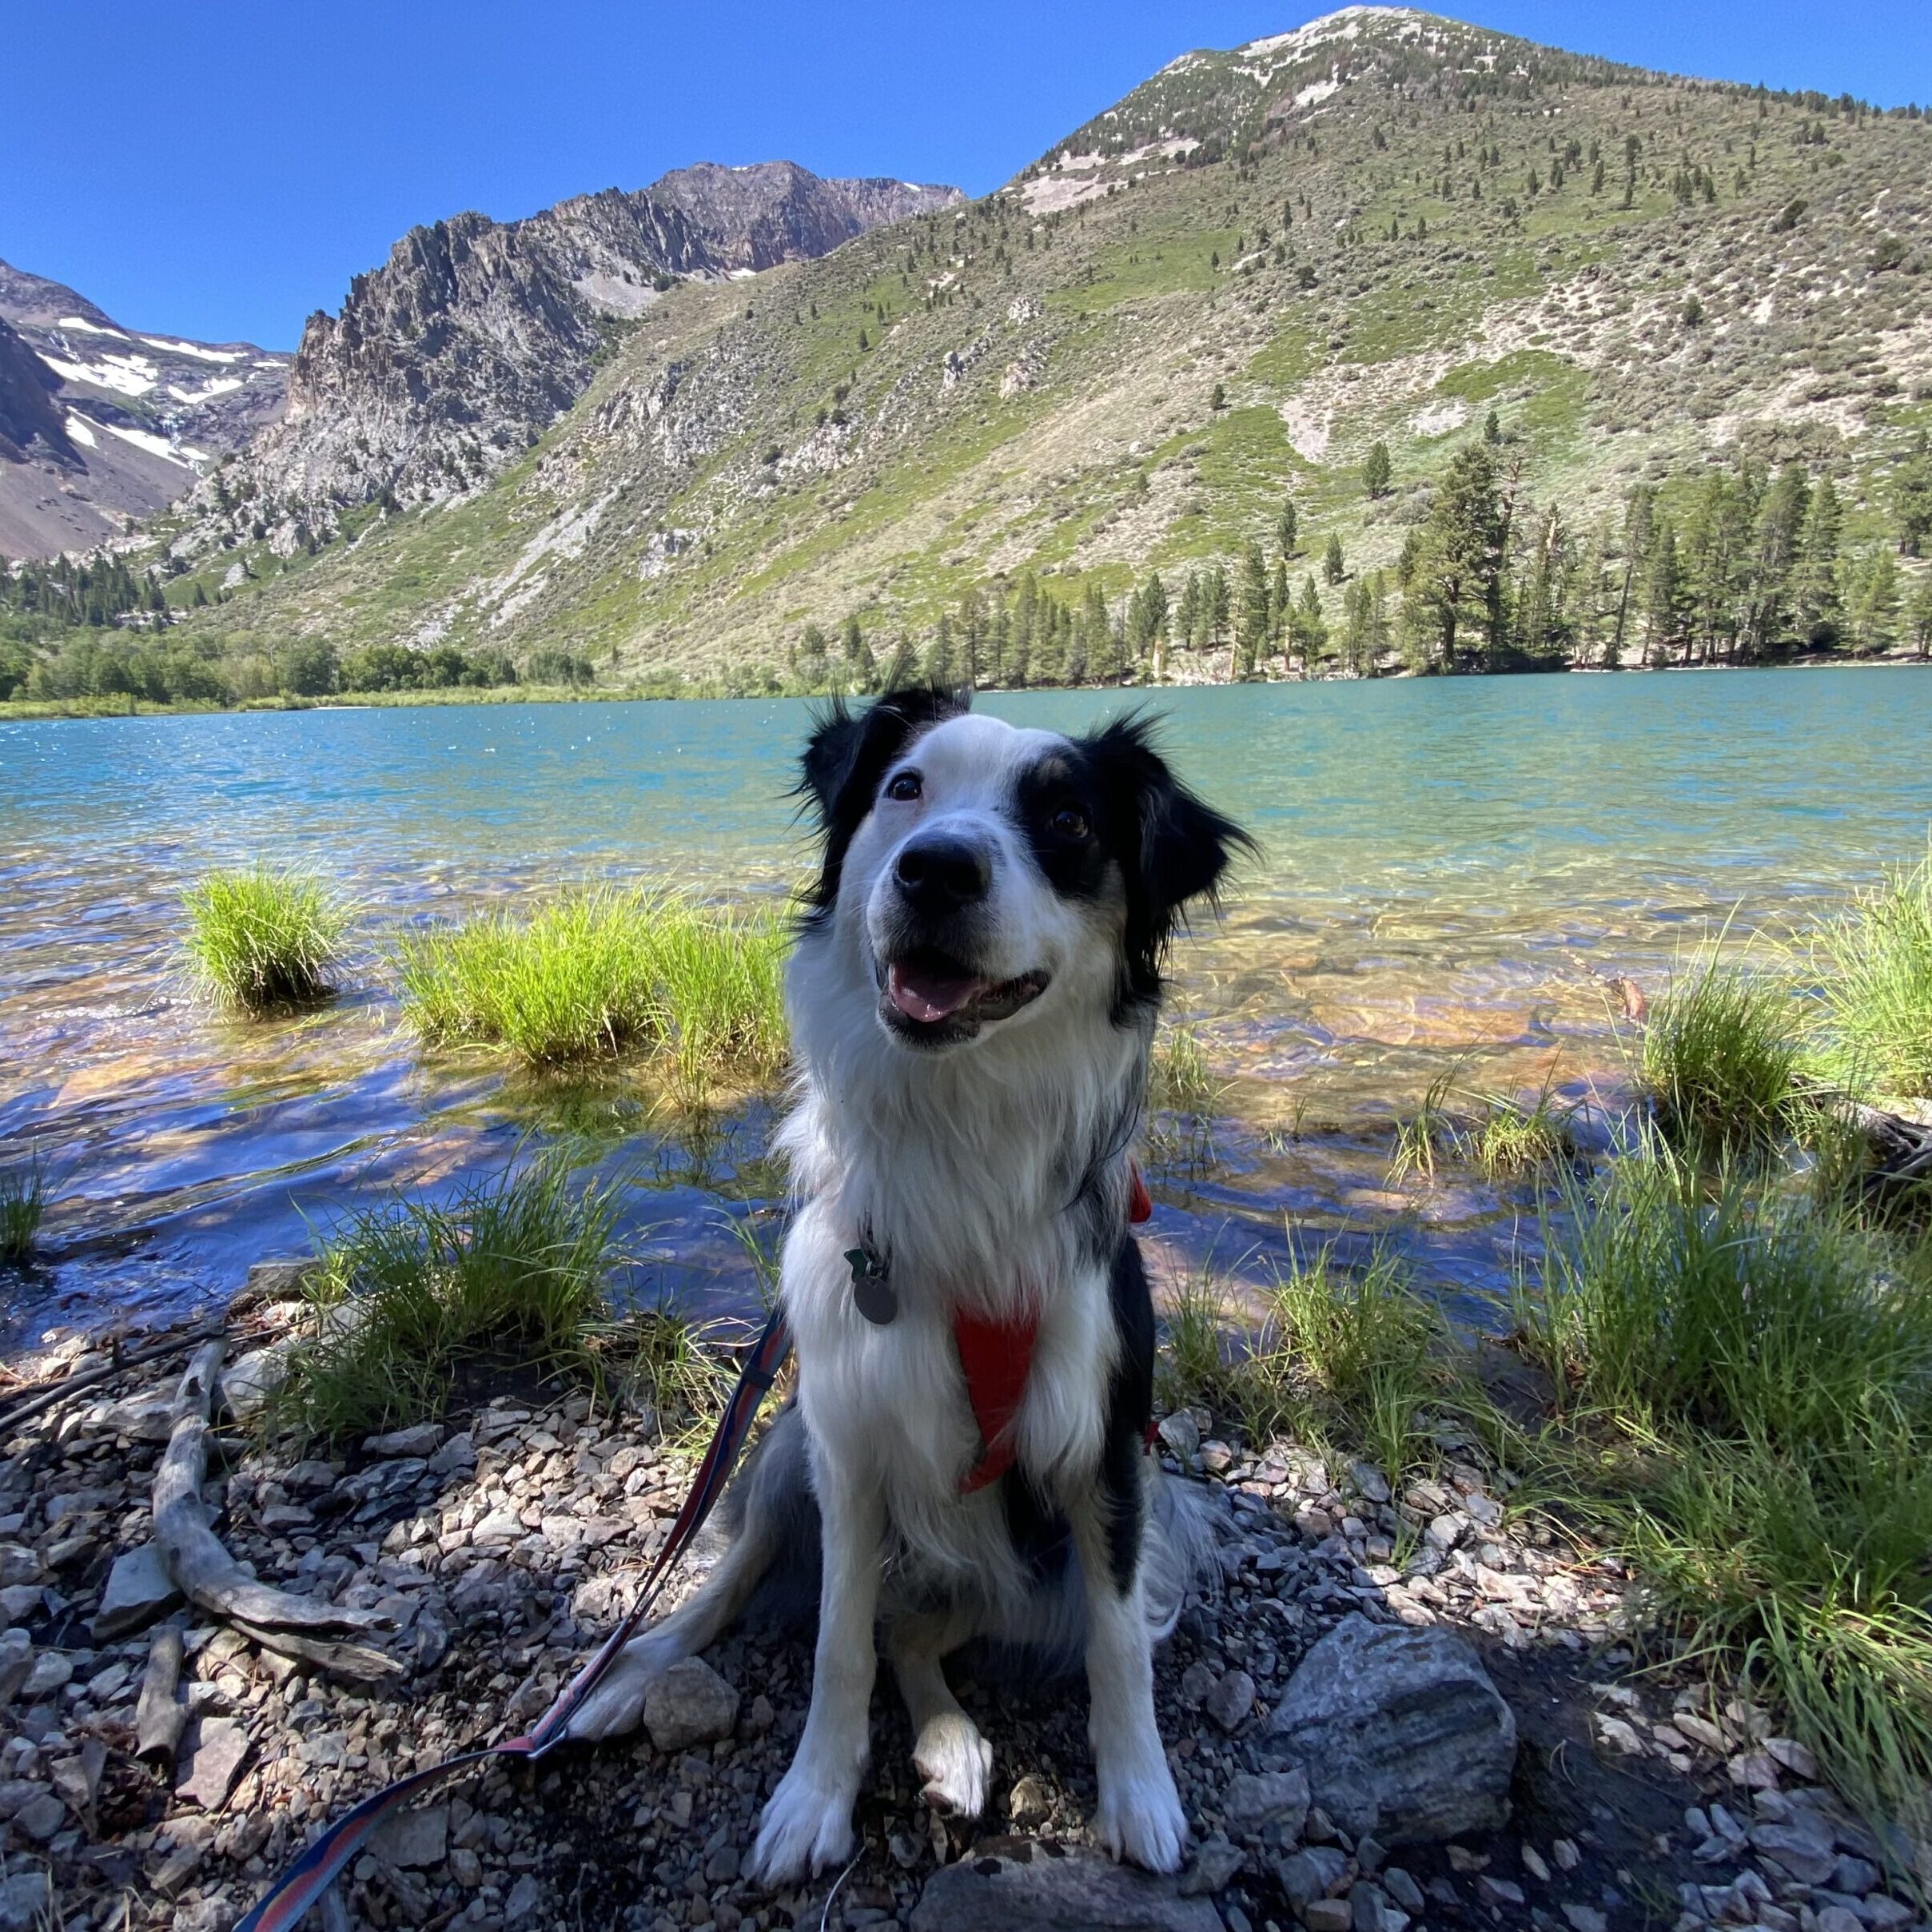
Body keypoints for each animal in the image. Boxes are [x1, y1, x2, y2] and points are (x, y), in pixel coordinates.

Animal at [568, 687, 1252, 1878]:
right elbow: (837, 1638)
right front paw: (812, 1796)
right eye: (904, 788)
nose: (934, 870)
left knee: (920, 1630)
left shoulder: (1109, 1446)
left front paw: (1140, 1792)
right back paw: (634, 1669)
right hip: (786, 1438)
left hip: (1032, 1570)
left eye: (1067, 820)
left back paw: (952, 1744)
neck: (959, 1126)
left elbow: (1119, 1644)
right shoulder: (847, 1440)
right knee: (757, 1578)